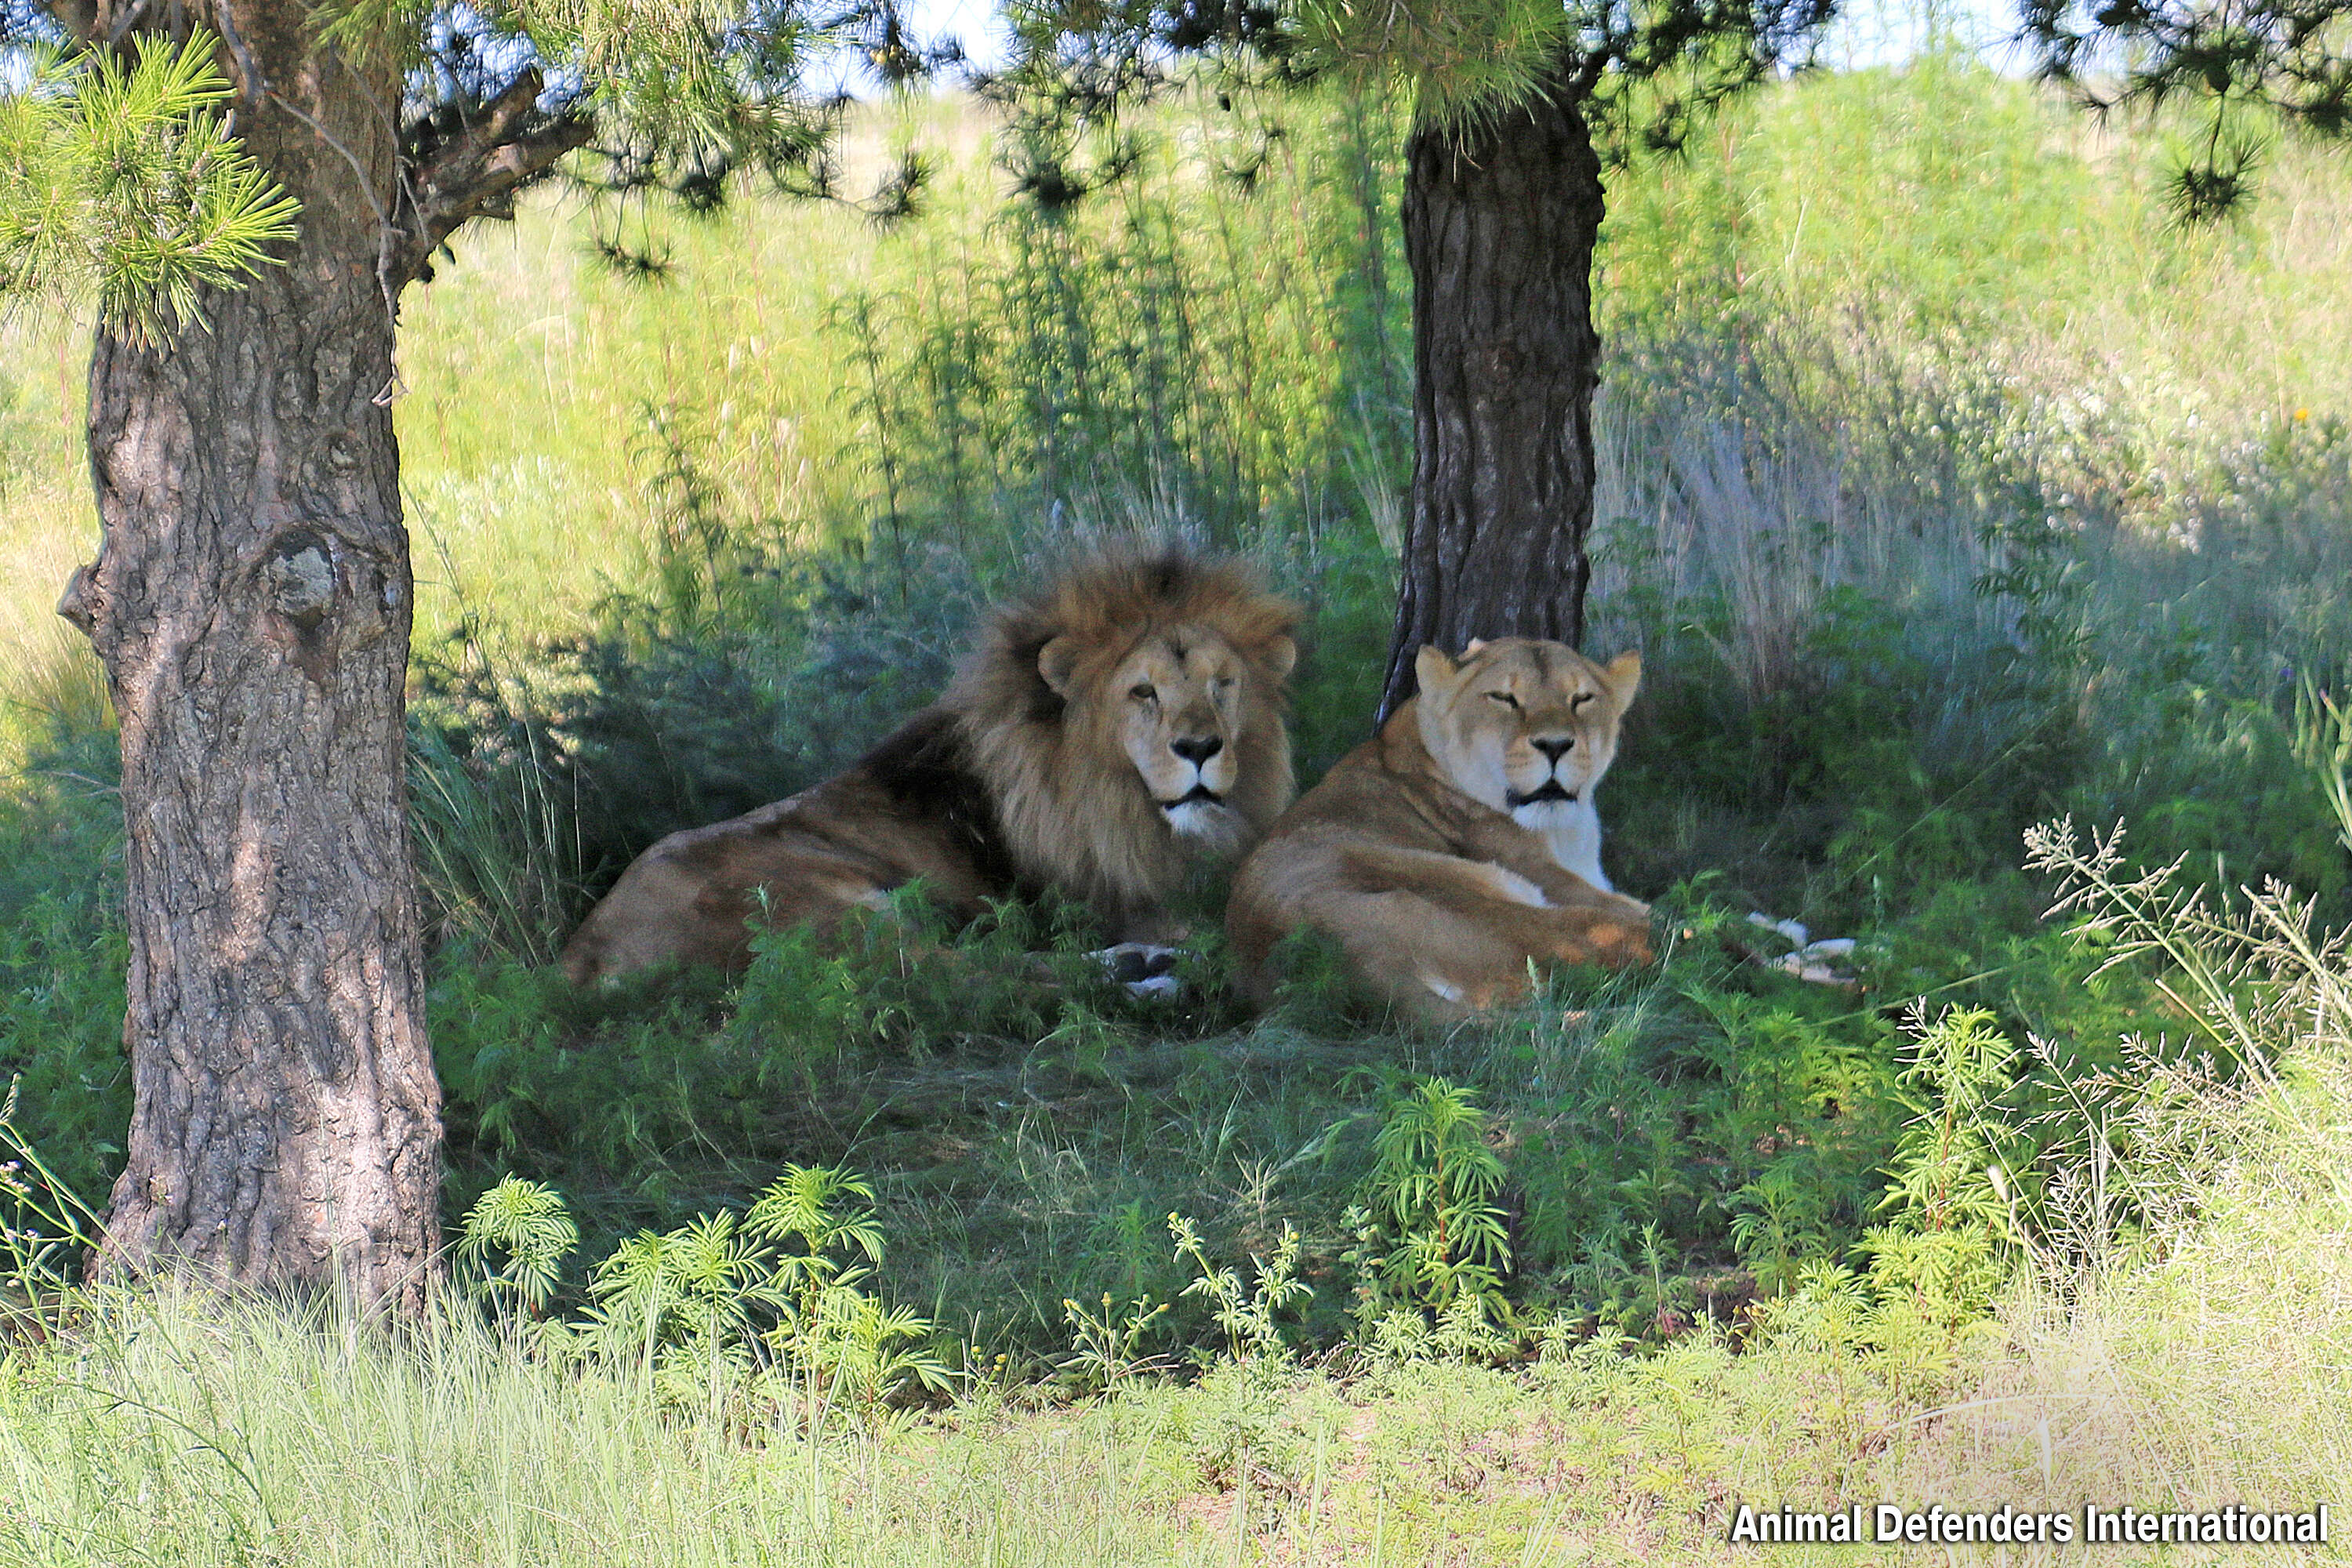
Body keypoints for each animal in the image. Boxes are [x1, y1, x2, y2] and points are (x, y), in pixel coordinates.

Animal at [564, 552, 1308, 982]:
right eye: (1143, 692)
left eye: (1223, 685)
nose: (1201, 748)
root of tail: (578, 958)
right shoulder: (1118, 898)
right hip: (833, 904)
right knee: (952, 974)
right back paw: (1138, 969)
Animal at [1232, 639, 1656, 1029]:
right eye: (1504, 698)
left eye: (1581, 699)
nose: (1555, 745)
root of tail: (1360, 970)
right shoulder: (1555, 882)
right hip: (1495, 900)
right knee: (1638, 937)